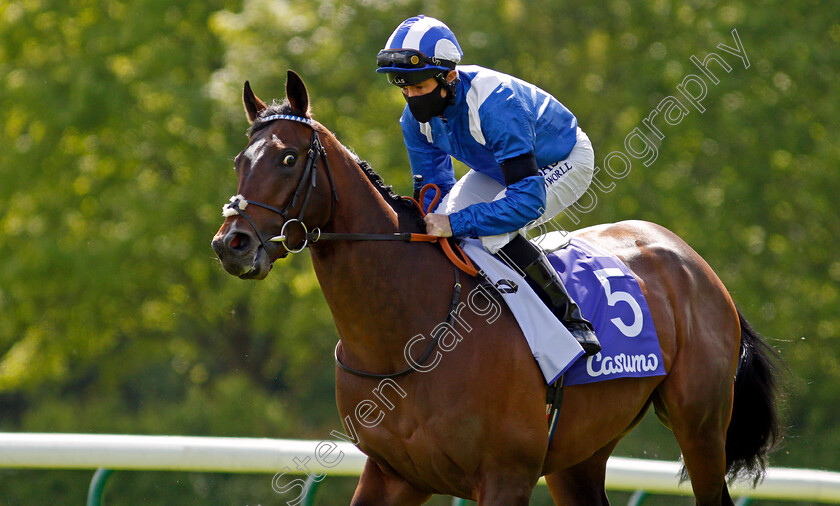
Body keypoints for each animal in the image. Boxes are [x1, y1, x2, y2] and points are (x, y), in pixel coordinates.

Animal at [210, 72, 780, 506]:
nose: (231, 244)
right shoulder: (394, 473)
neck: (409, 335)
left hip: (701, 426)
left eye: (287, 158)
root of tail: (690, 258)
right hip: (579, 454)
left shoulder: (506, 475)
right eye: (239, 161)